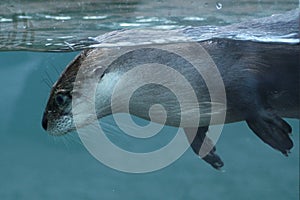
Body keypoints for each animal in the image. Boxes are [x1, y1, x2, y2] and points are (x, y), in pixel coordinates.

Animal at [41, 10, 298, 169]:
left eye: (61, 98)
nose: (43, 124)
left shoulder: (240, 71)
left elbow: (253, 102)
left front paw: (277, 135)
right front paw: (208, 152)